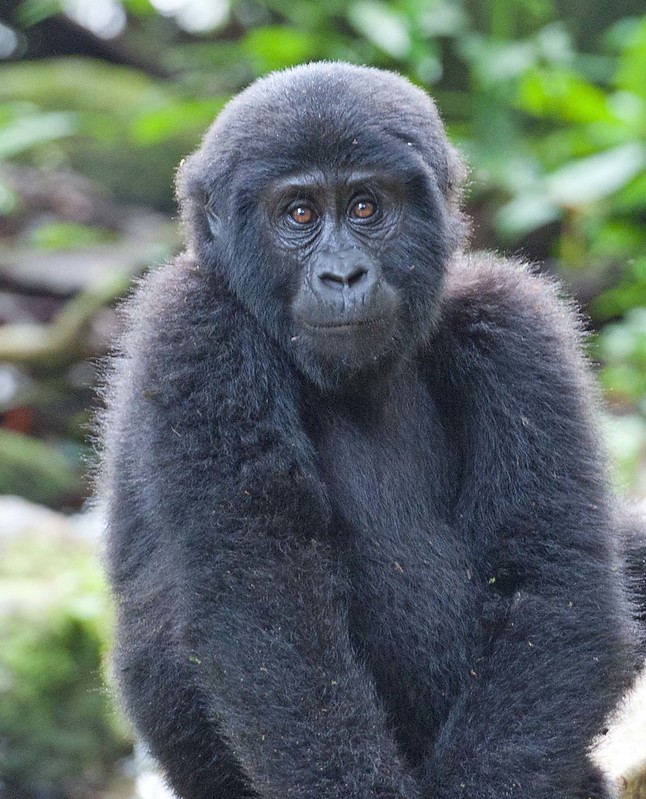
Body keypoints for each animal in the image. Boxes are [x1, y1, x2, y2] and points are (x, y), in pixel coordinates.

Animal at [101, 64, 644, 799]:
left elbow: (554, 582)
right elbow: (271, 609)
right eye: (299, 214)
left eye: (365, 207)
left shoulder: (513, 322)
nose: (343, 275)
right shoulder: (194, 329)